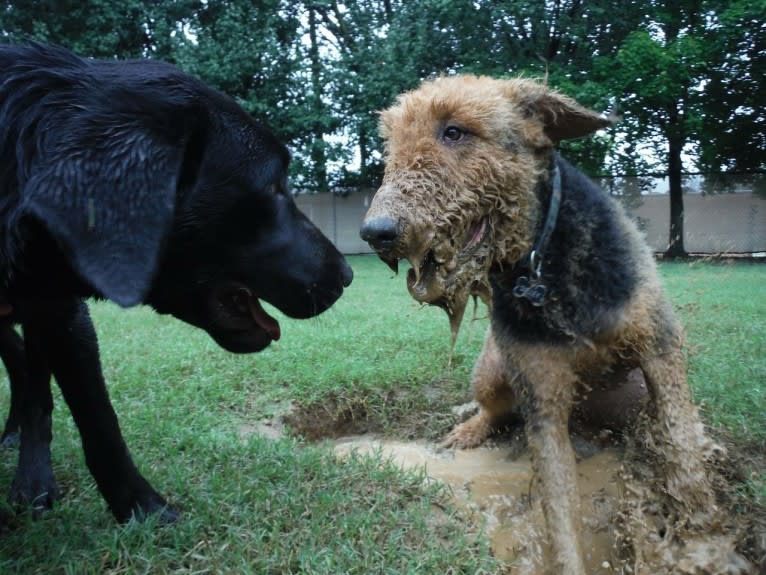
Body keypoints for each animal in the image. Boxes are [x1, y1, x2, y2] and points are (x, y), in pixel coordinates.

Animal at [0, 42, 354, 524]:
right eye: (273, 186)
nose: (348, 275)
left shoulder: (60, 308)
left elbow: (96, 420)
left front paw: (141, 510)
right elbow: (94, 414)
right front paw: (145, 510)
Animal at [362, 75, 720, 575]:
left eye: (454, 131)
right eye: (391, 141)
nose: (376, 232)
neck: (541, 263)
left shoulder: (660, 346)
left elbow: (682, 448)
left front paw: (699, 538)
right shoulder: (544, 398)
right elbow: (561, 512)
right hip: (494, 367)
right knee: (492, 410)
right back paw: (468, 430)